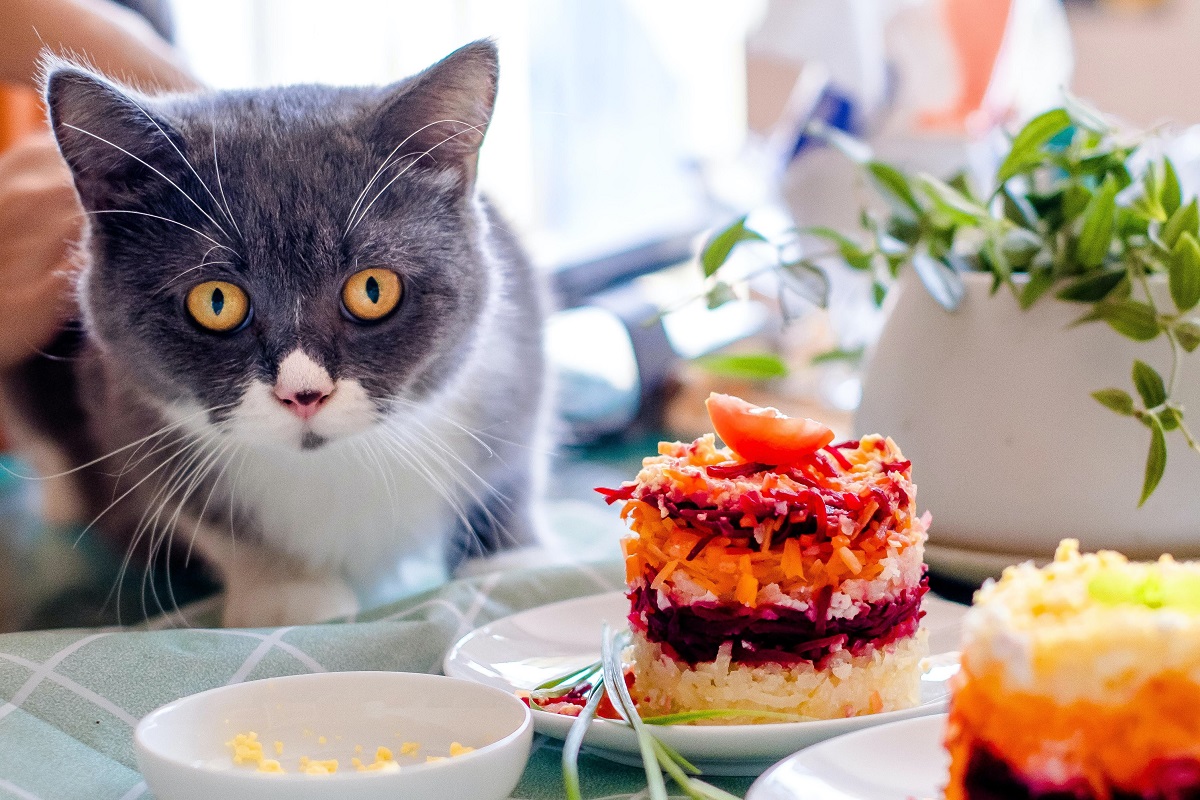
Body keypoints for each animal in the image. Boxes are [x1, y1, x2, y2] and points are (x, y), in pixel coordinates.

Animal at [0, 40, 549, 628]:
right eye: (216, 302)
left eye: (373, 289)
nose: (303, 393)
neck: (337, 465)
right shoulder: (122, 405)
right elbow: (205, 517)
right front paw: (287, 593)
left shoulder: (517, 350)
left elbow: (512, 463)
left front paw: (510, 559)